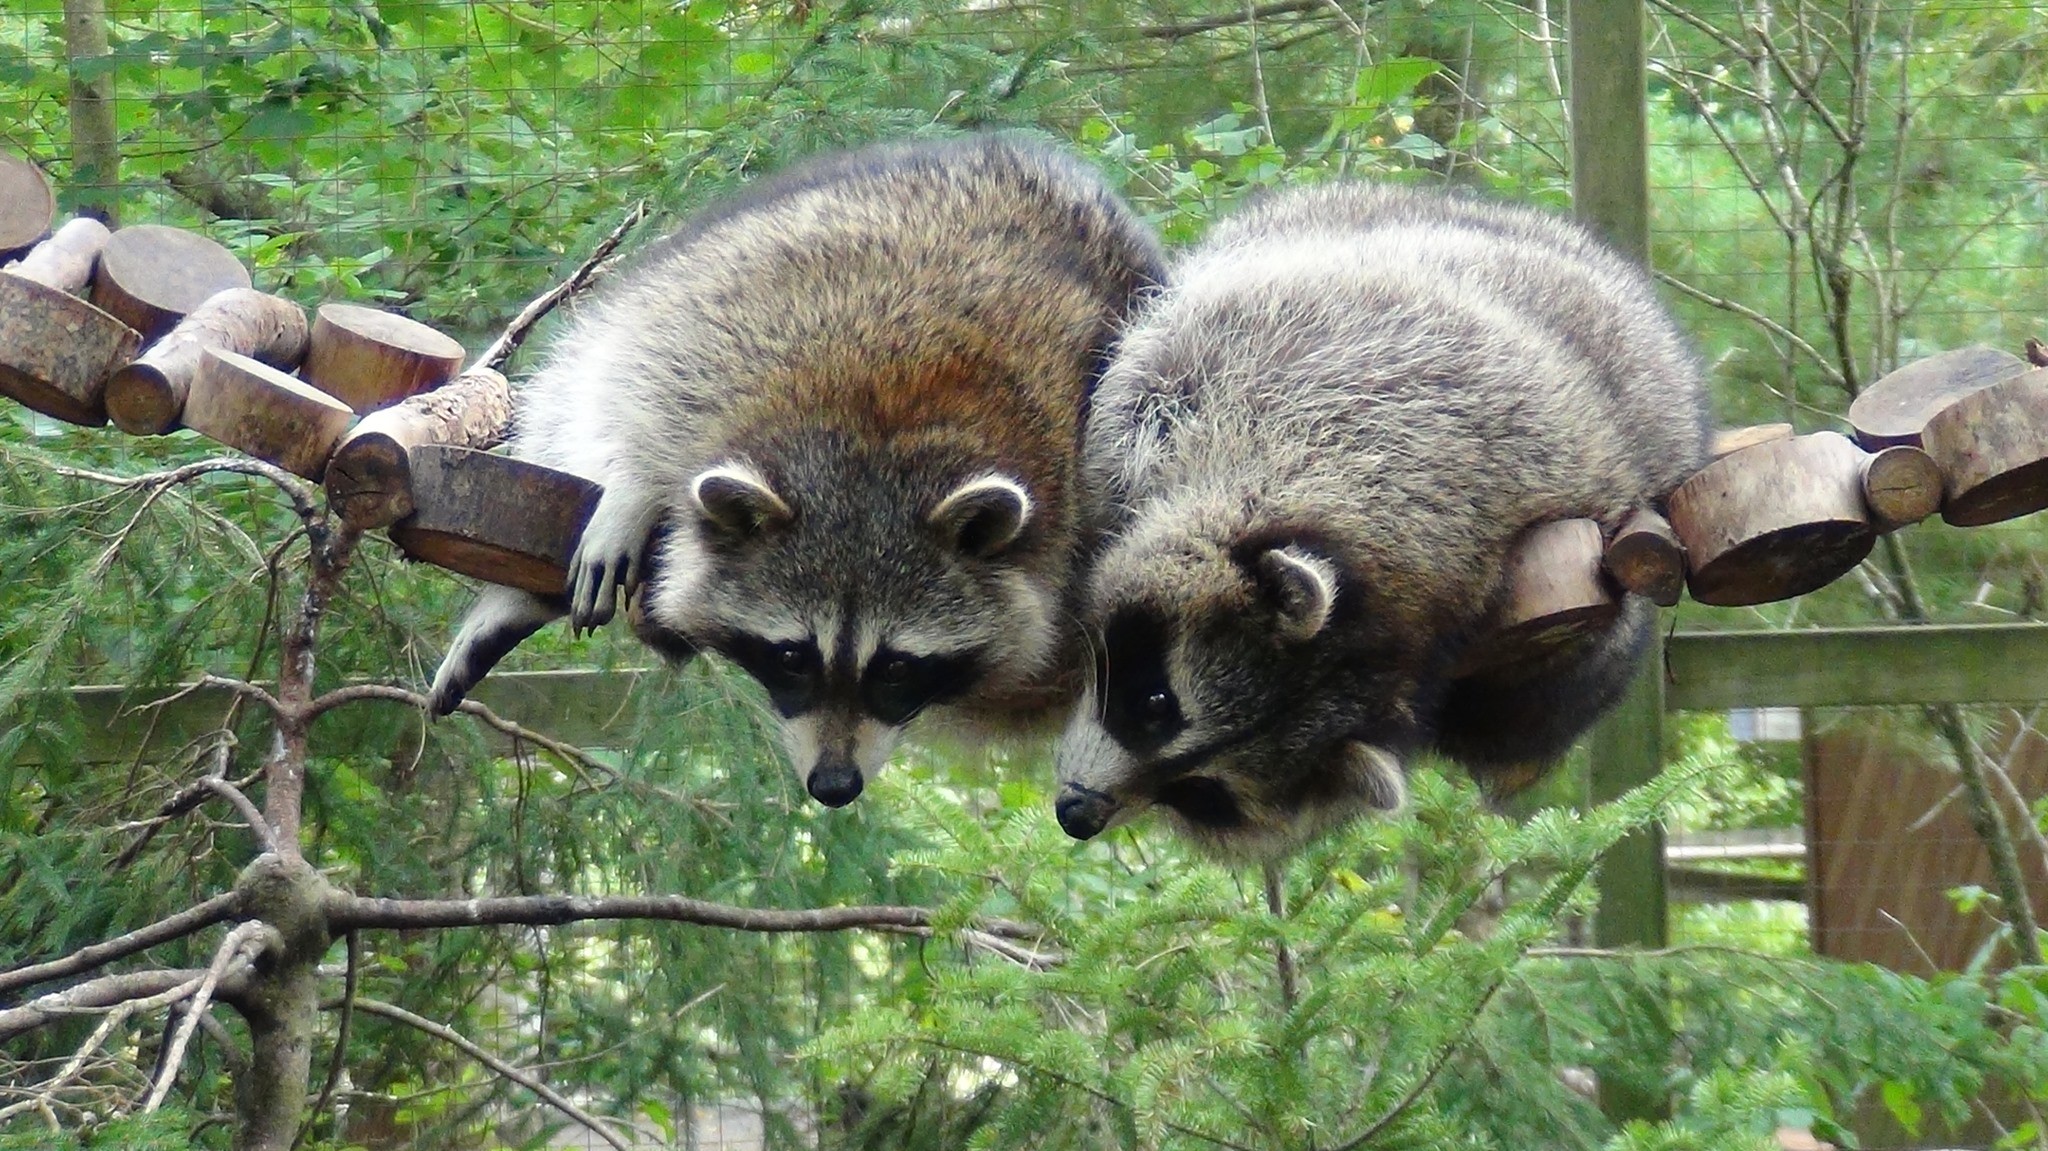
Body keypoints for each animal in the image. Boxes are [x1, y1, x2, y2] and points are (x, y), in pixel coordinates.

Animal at [428, 136, 1171, 806]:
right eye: (792, 656)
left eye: (897, 669)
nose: (835, 786)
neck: (874, 451)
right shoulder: (741, 329)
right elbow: (640, 384)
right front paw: (633, 488)